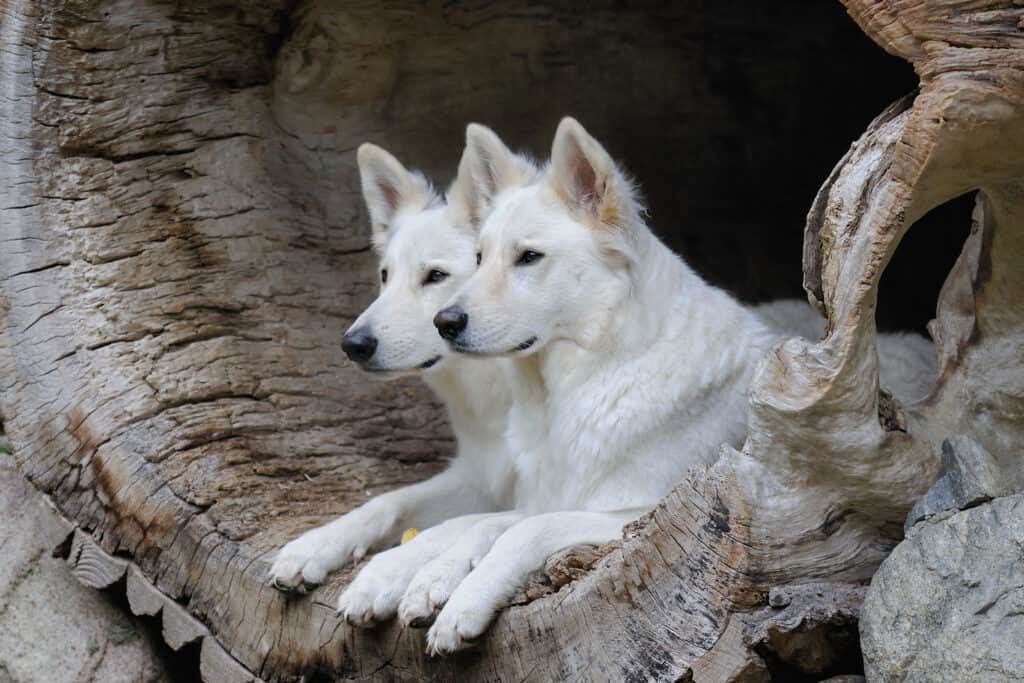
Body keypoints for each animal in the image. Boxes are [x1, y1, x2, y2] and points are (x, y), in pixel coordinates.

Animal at [423, 120, 937, 655]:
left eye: (529, 257)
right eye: (479, 258)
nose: (444, 322)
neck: (594, 375)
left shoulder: (635, 514)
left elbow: (523, 531)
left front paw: (463, 603)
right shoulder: (549, 496)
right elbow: (483, 523)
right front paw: (431, 578)